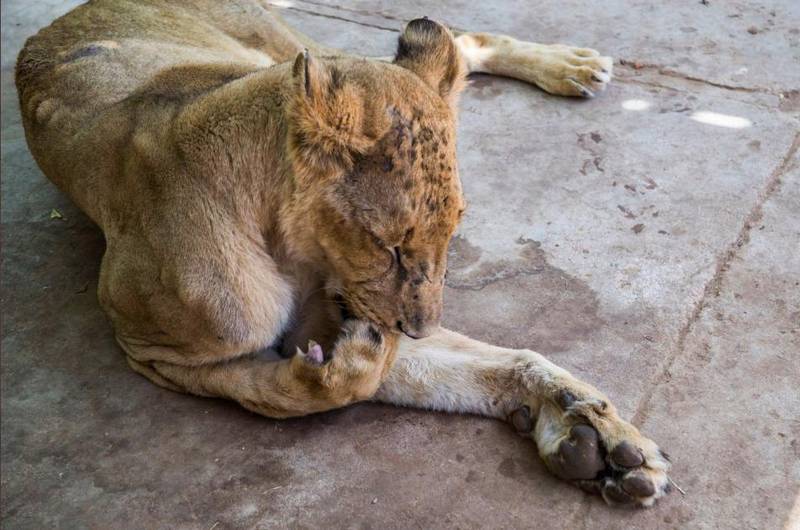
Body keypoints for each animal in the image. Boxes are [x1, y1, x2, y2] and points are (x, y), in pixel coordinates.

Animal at [15, 0, 672, 504]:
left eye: (454, 232)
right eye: (390, 246)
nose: (418, 328)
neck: (289, 243)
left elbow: (498, 360)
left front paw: (601, 436)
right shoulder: (149, 347)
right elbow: (275, 394)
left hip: (292, 48)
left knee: (459, 41)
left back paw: (571, 65)